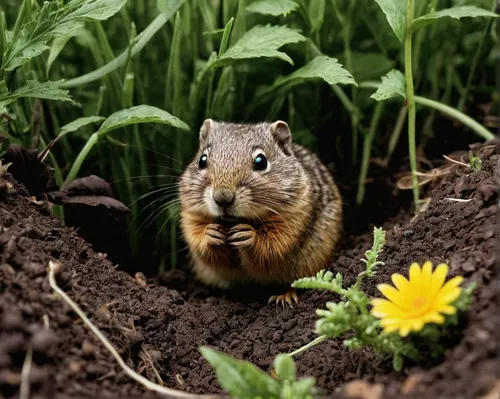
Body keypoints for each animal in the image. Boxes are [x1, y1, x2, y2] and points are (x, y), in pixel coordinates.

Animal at [180, 119, 344, 306]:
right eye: (202, 160)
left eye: (261, 161)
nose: (222, 197)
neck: (232, 222)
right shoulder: (191, 216)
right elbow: (201, 243)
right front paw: (211, 234)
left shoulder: (291, 221)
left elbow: (270, 246)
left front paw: (248, 235)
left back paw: (285, 297)